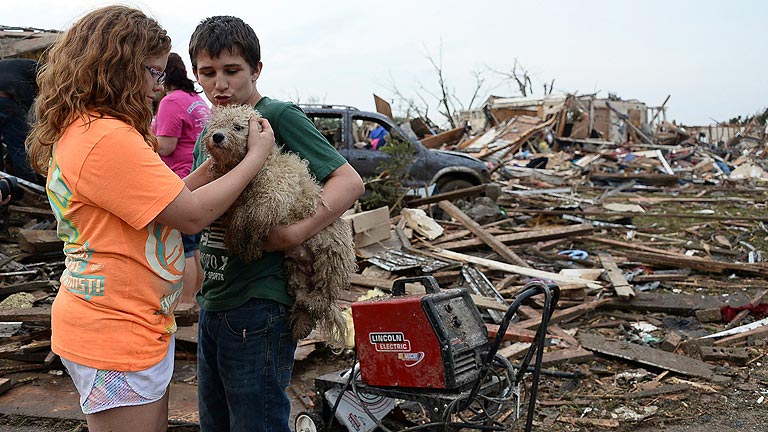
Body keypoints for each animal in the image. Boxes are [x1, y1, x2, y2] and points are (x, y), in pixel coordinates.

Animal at [198, 104, 354, 348]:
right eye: (215, 125)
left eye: (238, 126)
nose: (217, 136)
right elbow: (238, 217)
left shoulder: (274, 194)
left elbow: (249, 217)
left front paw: (247, 246)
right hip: (293, 270)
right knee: (302, 298)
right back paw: (301, 322)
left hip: (332, 256)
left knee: (323, 294)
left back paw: (313, 304)